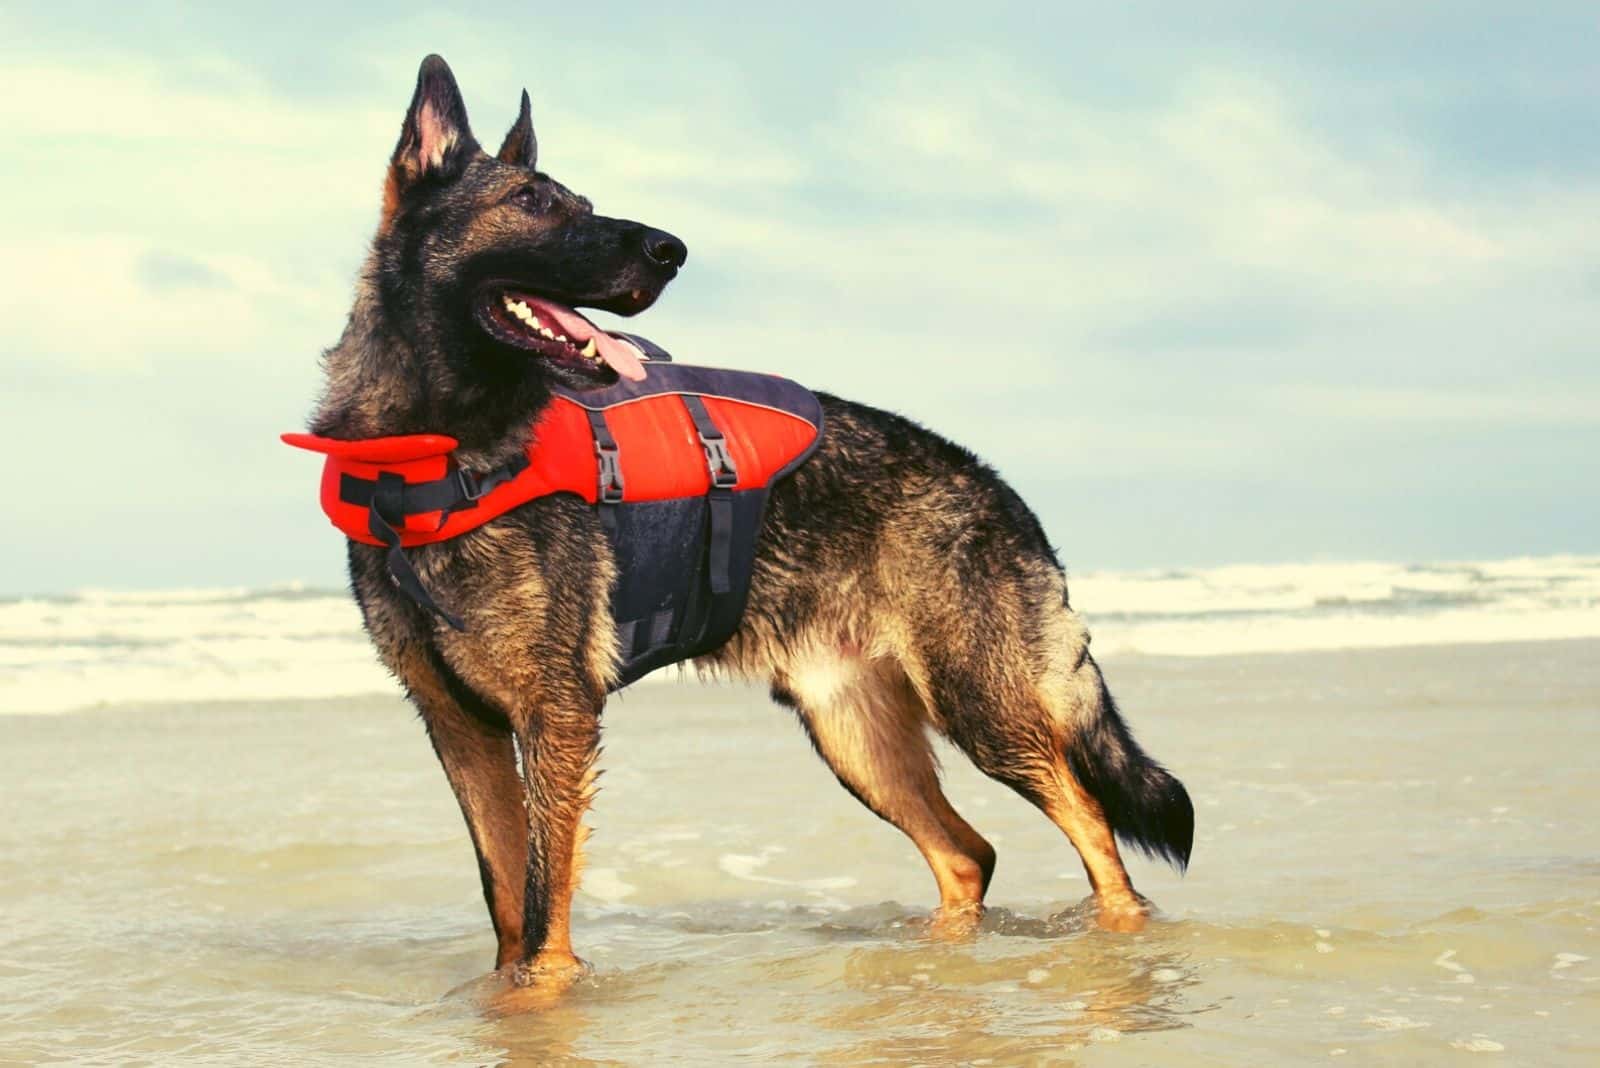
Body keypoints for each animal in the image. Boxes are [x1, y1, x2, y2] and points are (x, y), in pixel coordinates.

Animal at [305, 56, 1196, 991]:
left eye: (579, 203)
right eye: (536, 202)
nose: (672, 251)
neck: (435, 454)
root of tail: (1000, 489)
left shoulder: (554, 719)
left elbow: (546, 904)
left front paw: (544, 998)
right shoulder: (463, 730)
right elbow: (507, 898)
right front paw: (507, 994)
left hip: (983, 710)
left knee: (1095, 830)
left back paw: (1118, 942)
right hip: (856, 739)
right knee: (968, 856)